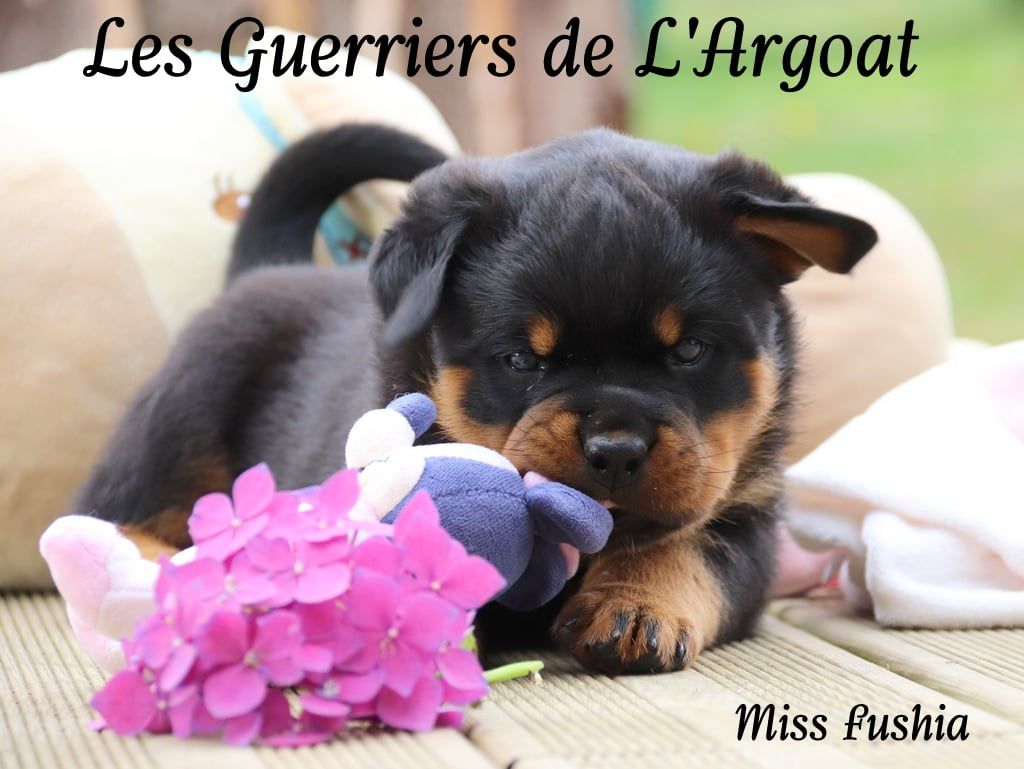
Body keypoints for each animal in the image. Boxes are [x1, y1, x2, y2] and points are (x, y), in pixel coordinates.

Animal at [76, 123, 876, 674]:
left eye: (690, 352)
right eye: (522, 358)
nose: (615, 448)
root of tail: (266, 269)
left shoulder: (749, 515)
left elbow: (684, 549)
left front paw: (635, 605)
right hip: (182, 413)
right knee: (115, 511)